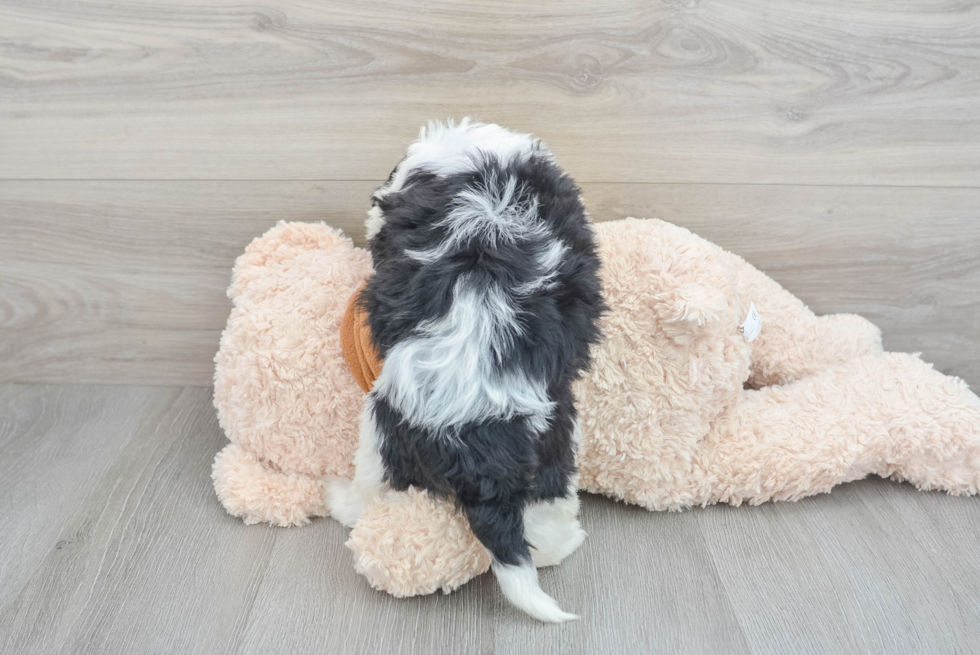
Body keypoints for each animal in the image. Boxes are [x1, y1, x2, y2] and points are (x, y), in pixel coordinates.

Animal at [330, 119, 604, 624]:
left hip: (384, 424)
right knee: (546, 508)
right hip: (555, 429)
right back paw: (560, 542)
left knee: (373, 489)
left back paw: (340, 501)